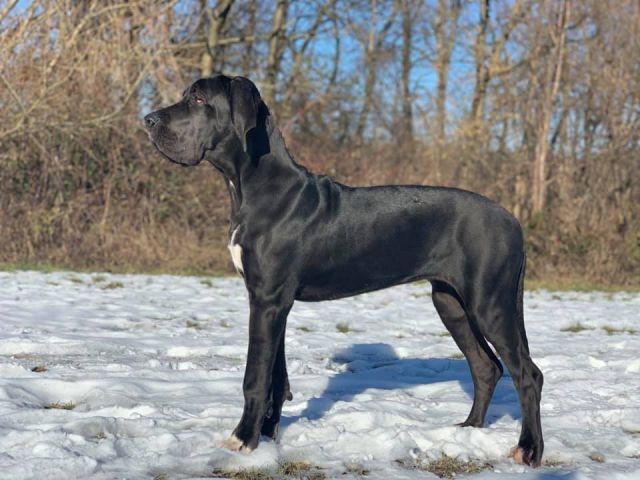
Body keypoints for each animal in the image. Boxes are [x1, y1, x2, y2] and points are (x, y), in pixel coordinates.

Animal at [144, 75, 544, 467]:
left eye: (199, 99)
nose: (148, 119)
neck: (250, 186)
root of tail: (513, 221)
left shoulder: (267, 300)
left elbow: (255, 377)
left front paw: (243, 439)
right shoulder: (275, 302)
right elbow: (276, 375)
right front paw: (269, 434)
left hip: (490, 302)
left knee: (528, 374)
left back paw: (529, 450)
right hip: (451, 303)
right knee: (486, 367)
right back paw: (468, 429)